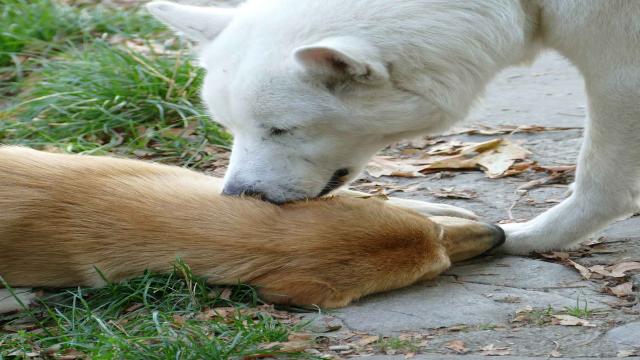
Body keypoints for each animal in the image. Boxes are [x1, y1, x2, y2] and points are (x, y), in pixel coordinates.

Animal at [148, 0, 640, 255]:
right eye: (230, 127)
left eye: (281, 130)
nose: (238, 197)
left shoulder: (620, 74)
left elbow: (600, 183)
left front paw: (533, 238)